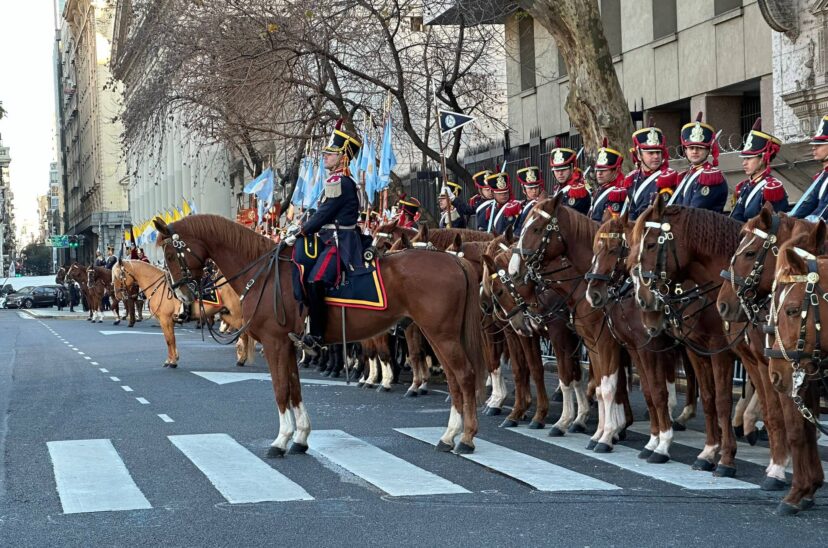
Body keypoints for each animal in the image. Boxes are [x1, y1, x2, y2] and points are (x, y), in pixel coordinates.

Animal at [111, 258, 256, 368]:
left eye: (119, 275)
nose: (118, 295)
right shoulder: (170, 321)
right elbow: (172, 339)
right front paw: (172, 359)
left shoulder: (165, 320)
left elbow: (169, 340)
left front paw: (172, 362)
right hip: (229, 314)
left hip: (237, 315)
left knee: (244, 334)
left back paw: (241, 359)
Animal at [154, 214, 486, 454]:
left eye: (170, 253)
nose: (181, 295)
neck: (263, 274)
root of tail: (454, 258)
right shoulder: (289, 344)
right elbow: (294, 389)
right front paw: (300, 438)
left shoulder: (275, 343)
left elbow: (280, 390)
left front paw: (281, 440)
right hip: (436, 333)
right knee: (455, 379)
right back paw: (449, 435)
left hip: (440, 334)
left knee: (465, 375)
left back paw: (466, 438)